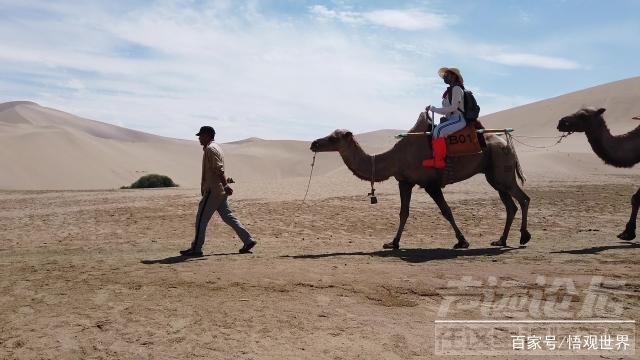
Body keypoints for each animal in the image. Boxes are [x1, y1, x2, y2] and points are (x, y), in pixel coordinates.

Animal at [310, 111, 528, 249]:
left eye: (334, 138)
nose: (314, 143)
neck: (395, 158)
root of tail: (506, 142)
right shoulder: (404, 181)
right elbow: (403, 213)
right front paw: (393, 243)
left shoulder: (430, 184)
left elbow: (446, 211)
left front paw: (462, 241)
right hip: (495, 176)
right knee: (510, 205)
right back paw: (501, 240)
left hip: (502, 169)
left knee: (523, 199)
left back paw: (524, 237)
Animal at [556, 107, 640, 242]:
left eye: (583, 116)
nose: (561, 122)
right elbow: (635, 198)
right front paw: (627, 232)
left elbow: (637, 198)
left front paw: (628, 233)